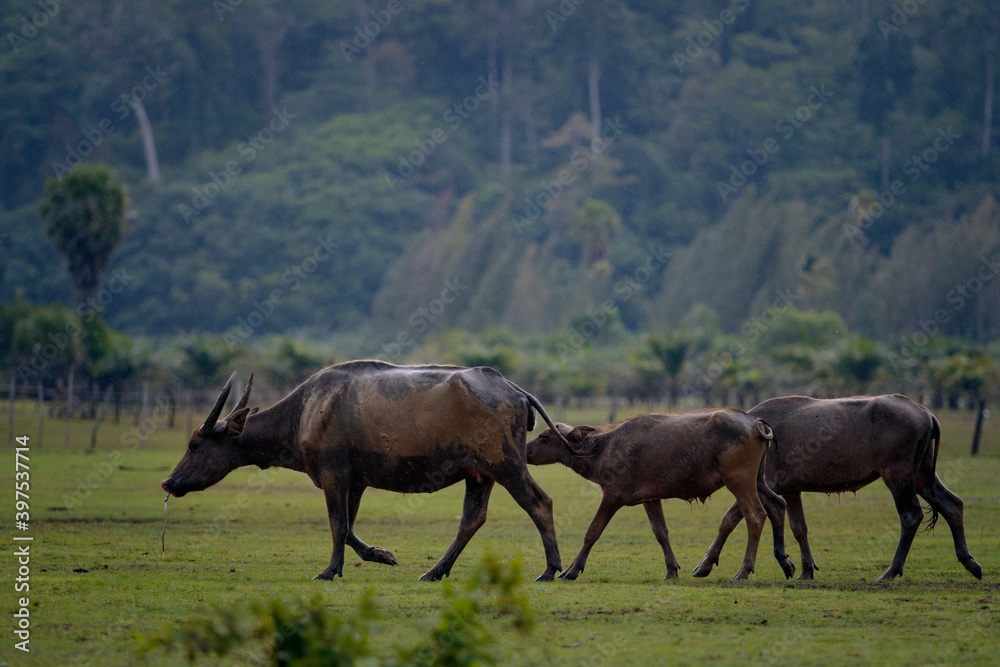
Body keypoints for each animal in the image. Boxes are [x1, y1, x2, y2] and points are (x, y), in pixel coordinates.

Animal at [164, 362, 572, 580]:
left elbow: (337, 526)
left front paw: (329, 571)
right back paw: (435, 571)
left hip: (505, 465)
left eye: (194, 444)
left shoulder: (333, 477)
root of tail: (513, 388)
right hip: (479, 474)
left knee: (540, 502)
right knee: (472, 519)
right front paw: (382, 555)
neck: (307, 410)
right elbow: (348, 529)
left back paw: (552, 568)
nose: (170, 481)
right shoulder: (355, 483)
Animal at [524, 410, 788, 580]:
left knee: (755, 515)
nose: (525, 450)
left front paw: (571, 570)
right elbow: (661, 532)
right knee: (777, 504)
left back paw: (743, 571)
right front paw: (671, 570)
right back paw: (785, 563)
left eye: (544, 437)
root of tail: (753, 422)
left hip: (740, 481)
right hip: (758, 481)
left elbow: (593, 531)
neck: (603, 447)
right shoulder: (650, 499)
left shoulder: (612, 497)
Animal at [692, 394, 980, 580]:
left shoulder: (760, 484)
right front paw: (806, 569)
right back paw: (969, 562)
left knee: (911, 516)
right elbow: (799, 527)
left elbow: (729, 520)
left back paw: (890, 571)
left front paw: (704, 564)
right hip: (922, 476)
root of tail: (925, 413)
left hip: (899, 477)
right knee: (952, 504)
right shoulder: (791, 490)